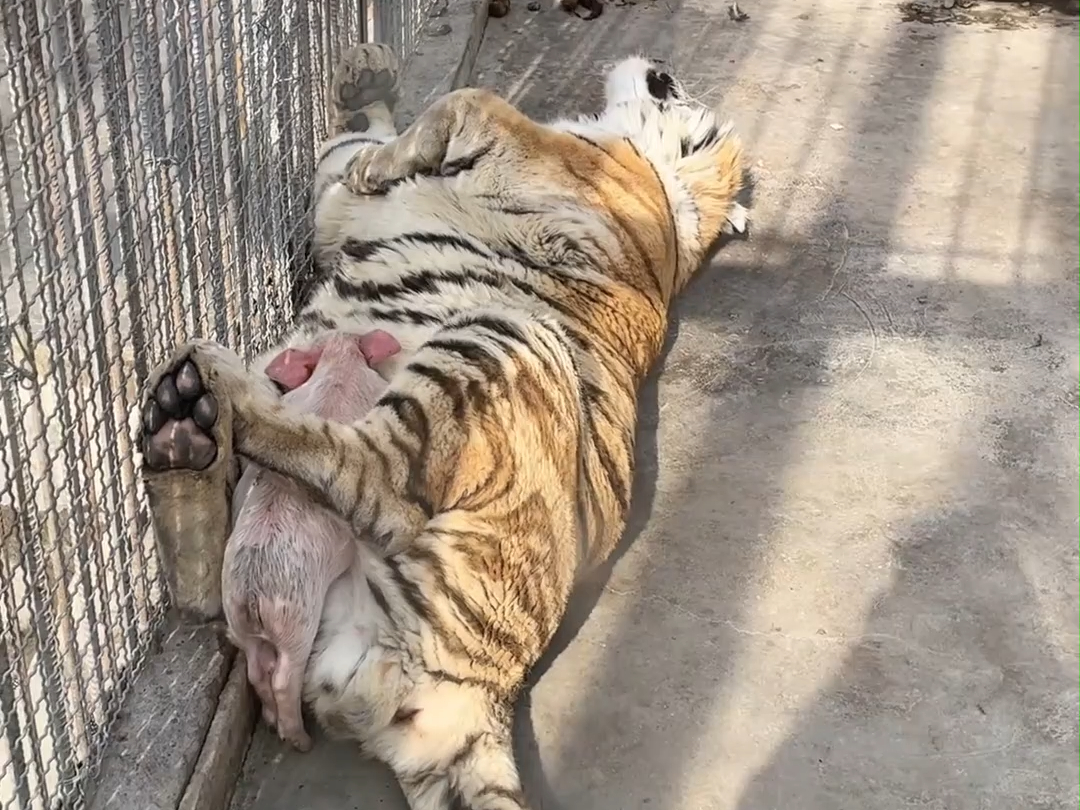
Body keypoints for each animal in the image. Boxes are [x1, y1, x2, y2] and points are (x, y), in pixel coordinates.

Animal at [138, 42, 749, 810]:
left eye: (684, 96)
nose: (662, 69)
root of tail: (480, 696)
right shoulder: (344, 203)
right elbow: (352, 148)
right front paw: (366, 78)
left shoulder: (520, 147)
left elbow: (466, 100)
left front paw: (379, 133)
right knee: (212, 600)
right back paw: (181, 435)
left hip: (498, 339)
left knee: (367, 474)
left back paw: (219, 389)